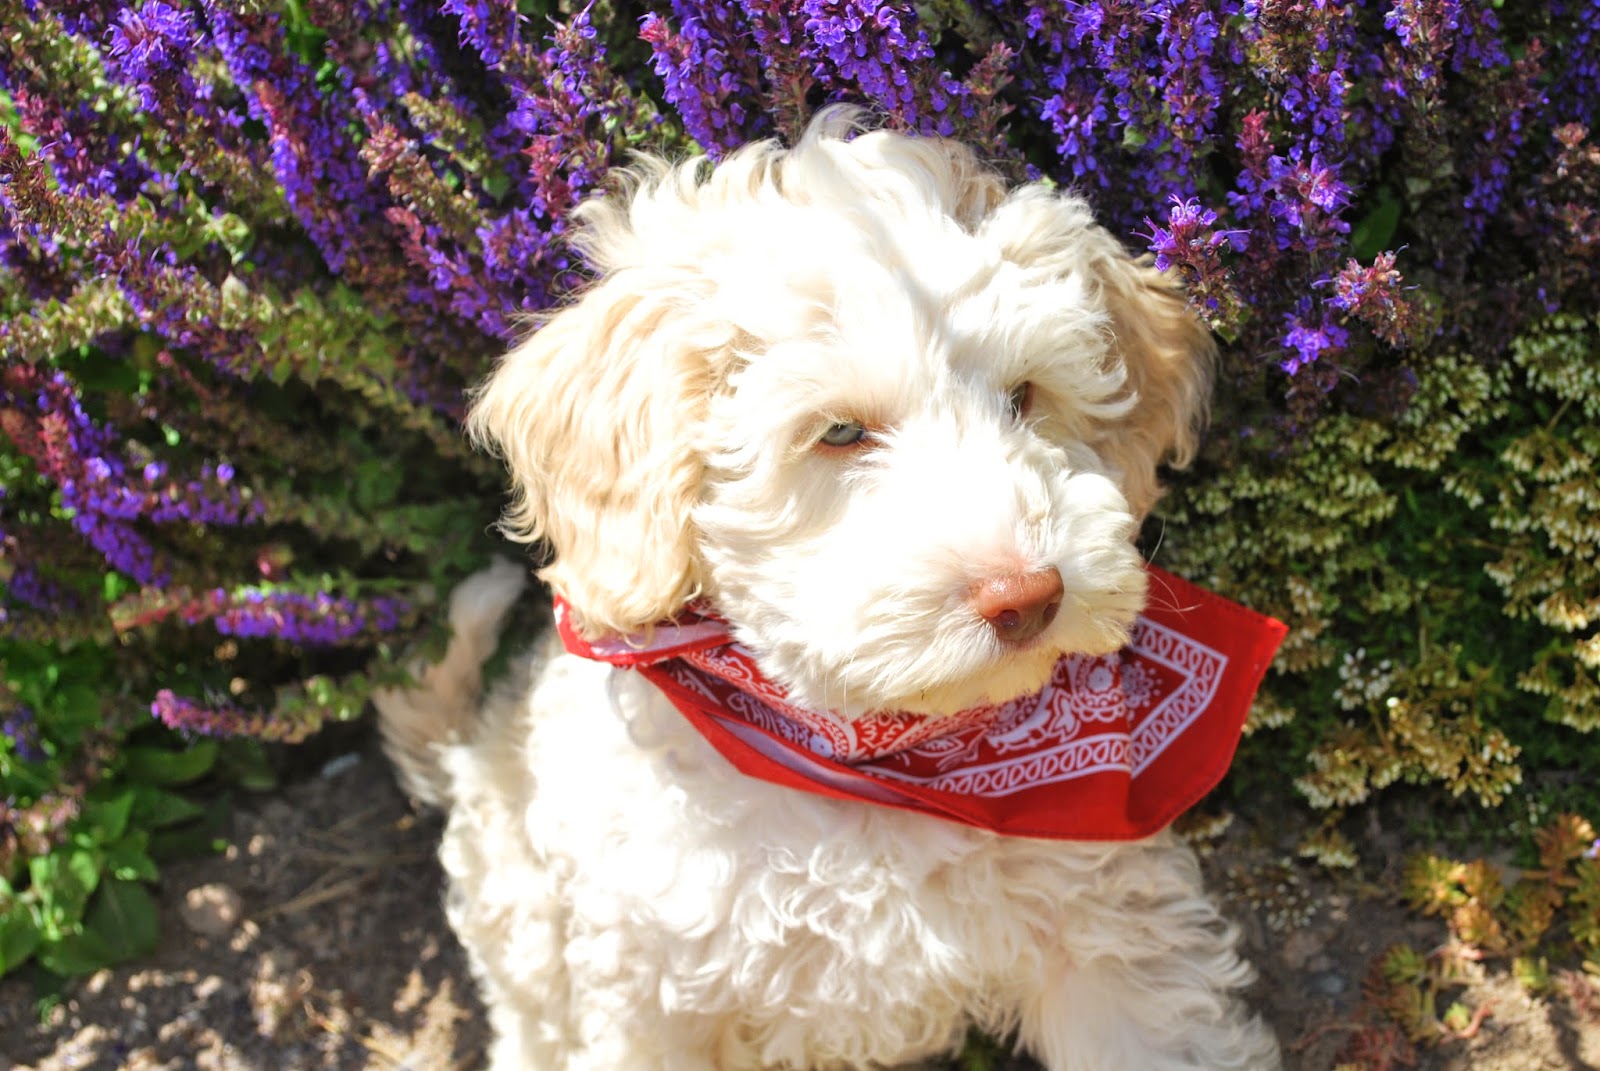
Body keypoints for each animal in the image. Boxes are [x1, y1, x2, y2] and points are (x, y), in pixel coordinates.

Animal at [376, 110, 1282, 1071]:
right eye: (840, 432)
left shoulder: (1107, 927)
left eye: (1025, 395)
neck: (865, 760)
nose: (1025, 594)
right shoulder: (649, 988)